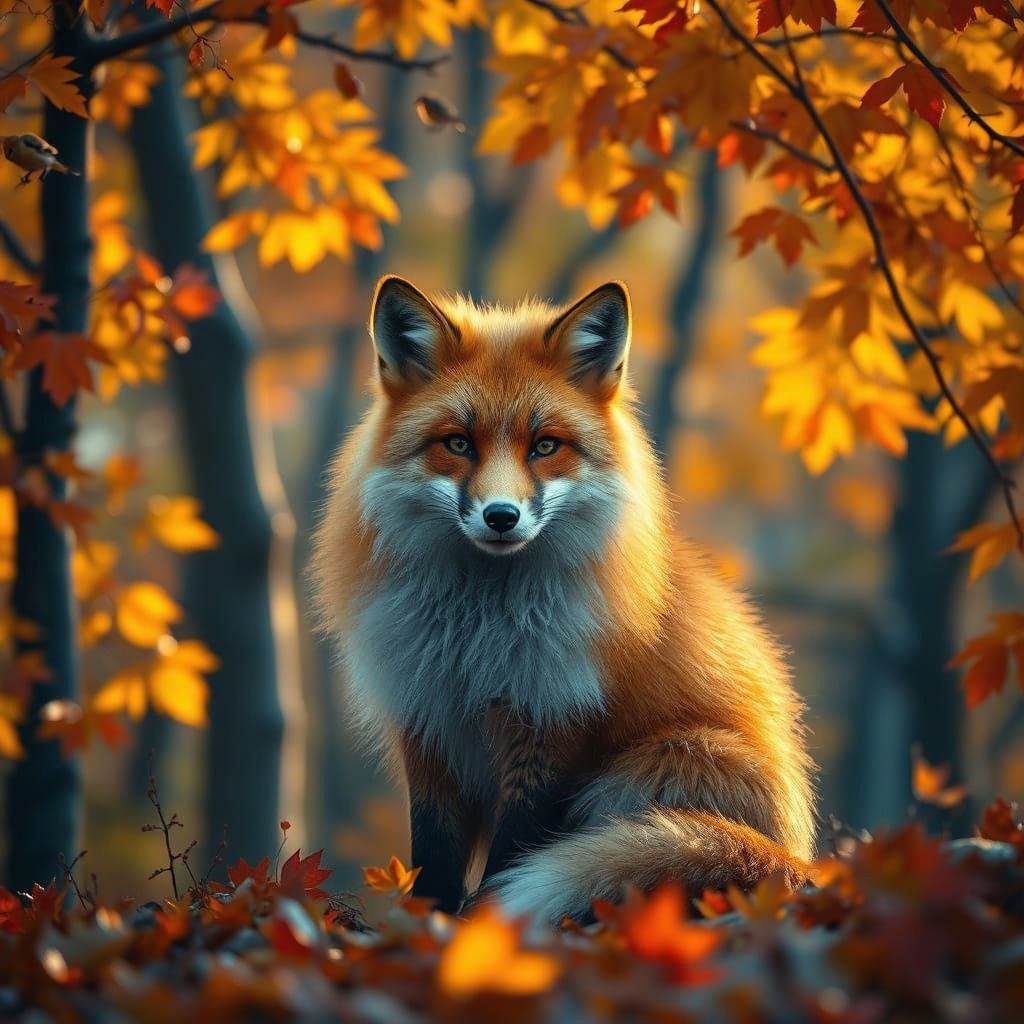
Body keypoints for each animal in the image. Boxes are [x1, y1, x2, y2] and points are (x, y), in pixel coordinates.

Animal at [310, 275, 816, 922]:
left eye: (545, 446)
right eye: (458, 443)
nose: (501, 516)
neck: (475, 637)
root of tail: (800, 860)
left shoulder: (551, 724)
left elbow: (513, 851)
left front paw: (483, 925)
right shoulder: (428, 723)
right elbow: (435, 859)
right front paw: (425, 929)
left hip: (650, 765)